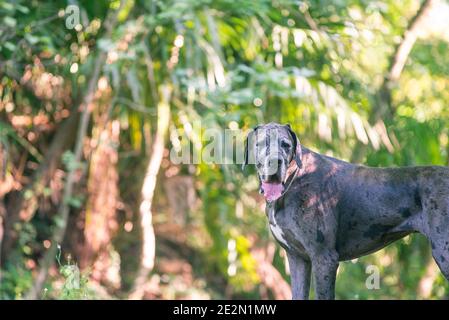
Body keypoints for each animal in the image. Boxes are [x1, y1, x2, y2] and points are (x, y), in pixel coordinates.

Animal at [243, 122, 448, 300]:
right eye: (261, 143)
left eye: (286, 145)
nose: (275, 162)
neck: (294, 179)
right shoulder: (298, 258)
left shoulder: (324, 258)